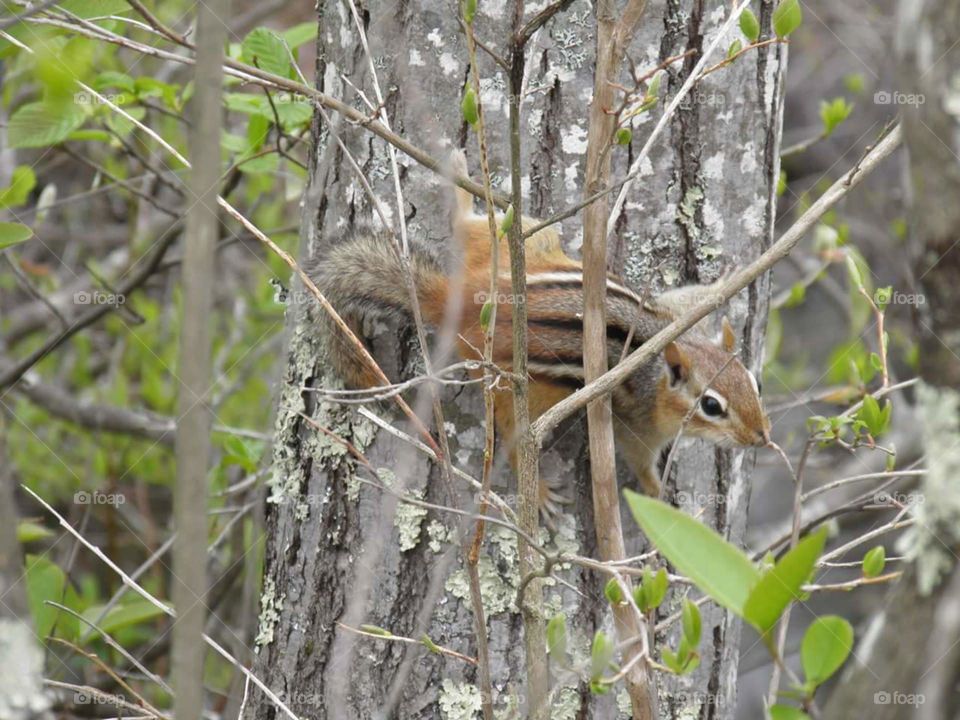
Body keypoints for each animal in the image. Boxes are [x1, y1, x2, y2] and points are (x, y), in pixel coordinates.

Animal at [310, 159, 770, 518]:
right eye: (711, 406)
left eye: (755, 383)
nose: (762, 439)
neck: (658, 362)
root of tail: (453, 304)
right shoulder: (637, 424)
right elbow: (638, 458)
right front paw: (658, 493)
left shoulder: (676, 315)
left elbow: (688, 297)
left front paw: (725, 282)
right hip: (523, 391)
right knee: (517, 441)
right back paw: (540, 491)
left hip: (527, 242)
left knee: (472, 228)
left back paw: (459, 176)